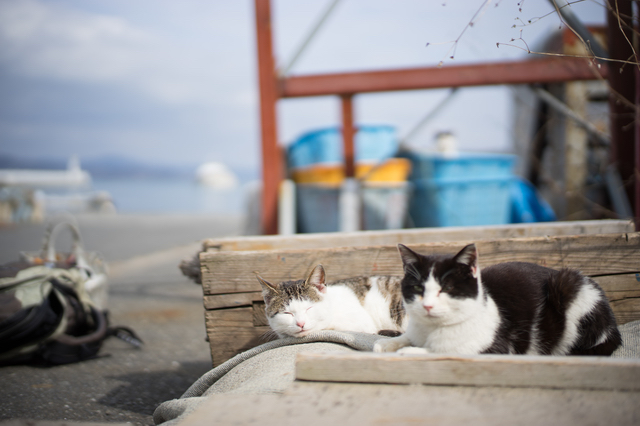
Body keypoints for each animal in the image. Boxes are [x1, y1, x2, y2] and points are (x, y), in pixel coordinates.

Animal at [372, 243, 624, 356]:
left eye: (447, 288)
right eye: (418, 288)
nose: (427, 305)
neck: (431, 331)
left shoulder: (495, 348)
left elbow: (442, 352)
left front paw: (410, 351)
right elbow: (406, 337)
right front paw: (387, 344)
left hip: (569, 287)